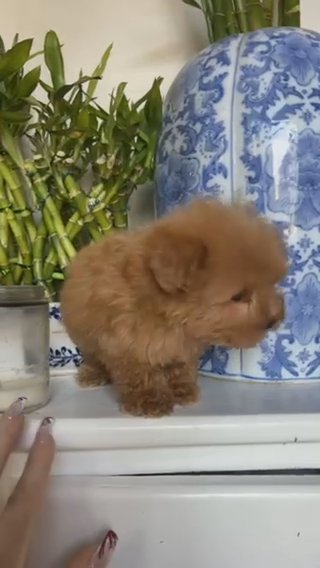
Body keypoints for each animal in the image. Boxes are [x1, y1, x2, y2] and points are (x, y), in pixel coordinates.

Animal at [60, 200, 288, 418]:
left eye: (270, 283)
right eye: (238, 296)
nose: (273, 320)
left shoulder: (181, 345)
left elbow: (180, 367)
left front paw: (182, 390)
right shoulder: (126, 344)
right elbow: (140, 373)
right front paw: (149, 400)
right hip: (85, 335)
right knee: (93, 356)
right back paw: (92, 375)